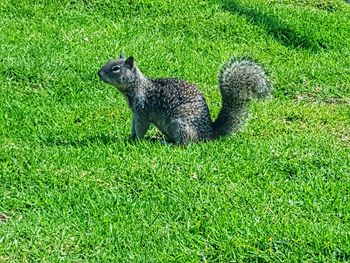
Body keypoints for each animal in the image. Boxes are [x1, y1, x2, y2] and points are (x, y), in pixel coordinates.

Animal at [97, 52, 272, 145]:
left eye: (116, 68)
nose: (99, 73)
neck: (138, 87)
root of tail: (209, 135)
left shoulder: (143, 111)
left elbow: (141, 127)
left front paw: (137, 142)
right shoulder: (135, 112)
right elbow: (134, 126)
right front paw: (130, 137)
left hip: (179, 124)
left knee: (185, 144)